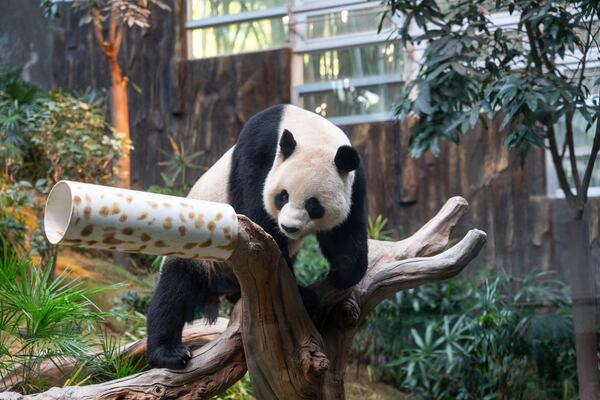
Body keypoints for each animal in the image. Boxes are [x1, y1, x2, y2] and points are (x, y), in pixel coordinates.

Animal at [148, 103, 368, 368]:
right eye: (283, 196)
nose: (289, 227)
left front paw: (341, 273)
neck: (309, 132)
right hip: (196, 250)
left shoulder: (354, 181)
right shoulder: (259, 152)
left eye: (313, 205)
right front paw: (301, 293)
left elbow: (344, 231)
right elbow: (258, 216)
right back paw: (168, 352)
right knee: (173, 290)